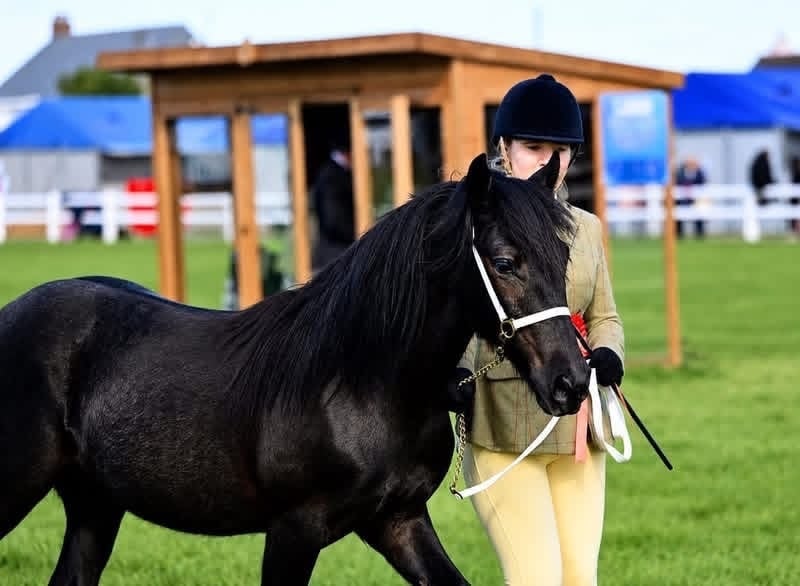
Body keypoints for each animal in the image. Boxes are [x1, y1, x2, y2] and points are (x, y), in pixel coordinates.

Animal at [0, 153, 590, 585]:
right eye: (505, 262)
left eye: (563, 260)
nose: (571, 382)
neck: (363, 384)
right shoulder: (293, 532)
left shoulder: (397, 521)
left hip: (94, 507)